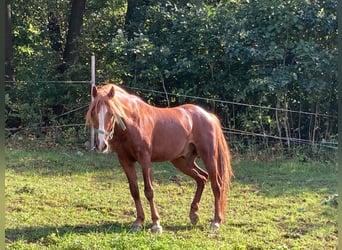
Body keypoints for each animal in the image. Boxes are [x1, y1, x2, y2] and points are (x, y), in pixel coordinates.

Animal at [87, 83, 234, 232]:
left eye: (111, 113)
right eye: (93, 113)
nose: (101, 145)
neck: (133, 122)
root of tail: (208, 116)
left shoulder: (145, 160)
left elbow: (149, 191)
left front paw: (156, 224)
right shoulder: (125, 161)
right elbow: (134, 191)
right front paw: (138, 221)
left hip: (208, 157)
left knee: (217, 185)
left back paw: (216, 221)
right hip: (182, 161)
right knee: (202, 178)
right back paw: (193, 215)